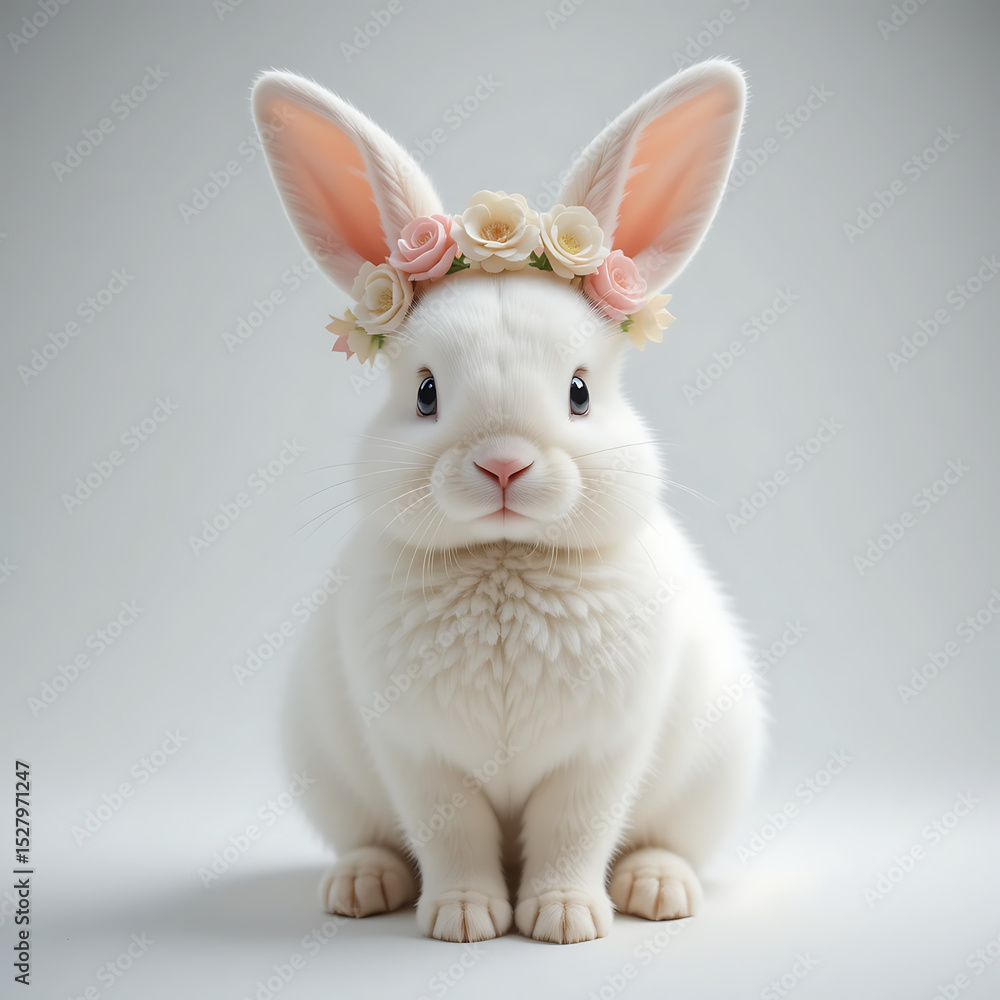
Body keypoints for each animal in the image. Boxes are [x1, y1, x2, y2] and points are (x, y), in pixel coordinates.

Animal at [250, 58, 765, 944]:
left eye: (580, 392)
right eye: (425, 393)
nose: (502, 466)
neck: (503, 559)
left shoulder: (600, 755)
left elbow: (575, 831)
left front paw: (564, 920)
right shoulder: (420, 757)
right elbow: (452, 836)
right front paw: (463, 919)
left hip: (711, 774)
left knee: (668, 843)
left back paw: (658, 891)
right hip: (329, 778)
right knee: (372, 839)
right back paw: (361, 886)